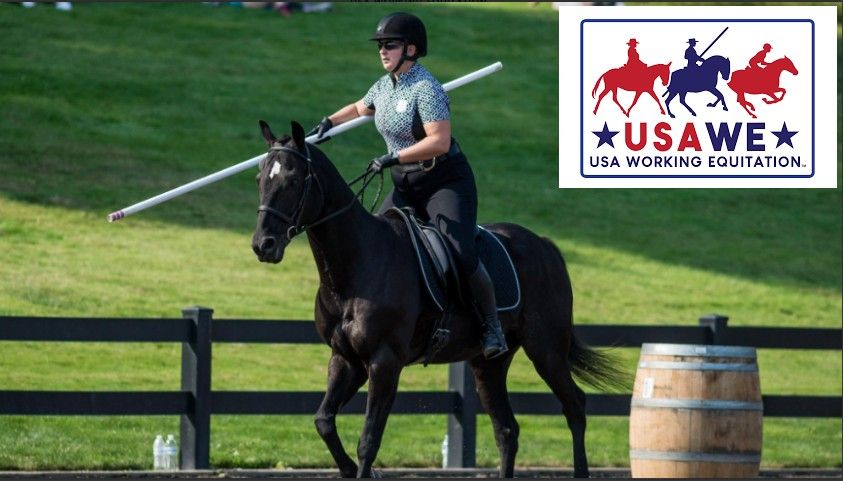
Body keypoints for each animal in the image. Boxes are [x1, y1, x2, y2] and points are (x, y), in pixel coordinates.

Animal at [251, 120, 628, 476]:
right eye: (260, 178)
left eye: (294, 179)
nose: (263, 245)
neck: (357, 263)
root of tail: (545, 245)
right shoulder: (346, 360)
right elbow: (324, 421)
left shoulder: (384, 361)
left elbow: (368, 441)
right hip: (488, 364)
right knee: (507, 430)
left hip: (546, 348)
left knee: (574, 407)